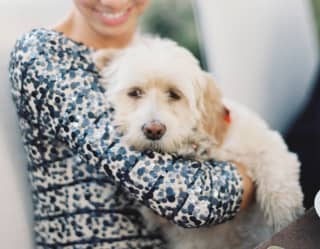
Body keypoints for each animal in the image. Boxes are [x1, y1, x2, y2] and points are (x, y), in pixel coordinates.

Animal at [93, 36, 304, 249]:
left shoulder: (265, 143)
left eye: (174, 94)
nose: (153, 130)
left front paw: (284, 220)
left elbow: (277, 180)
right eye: (135, 92)